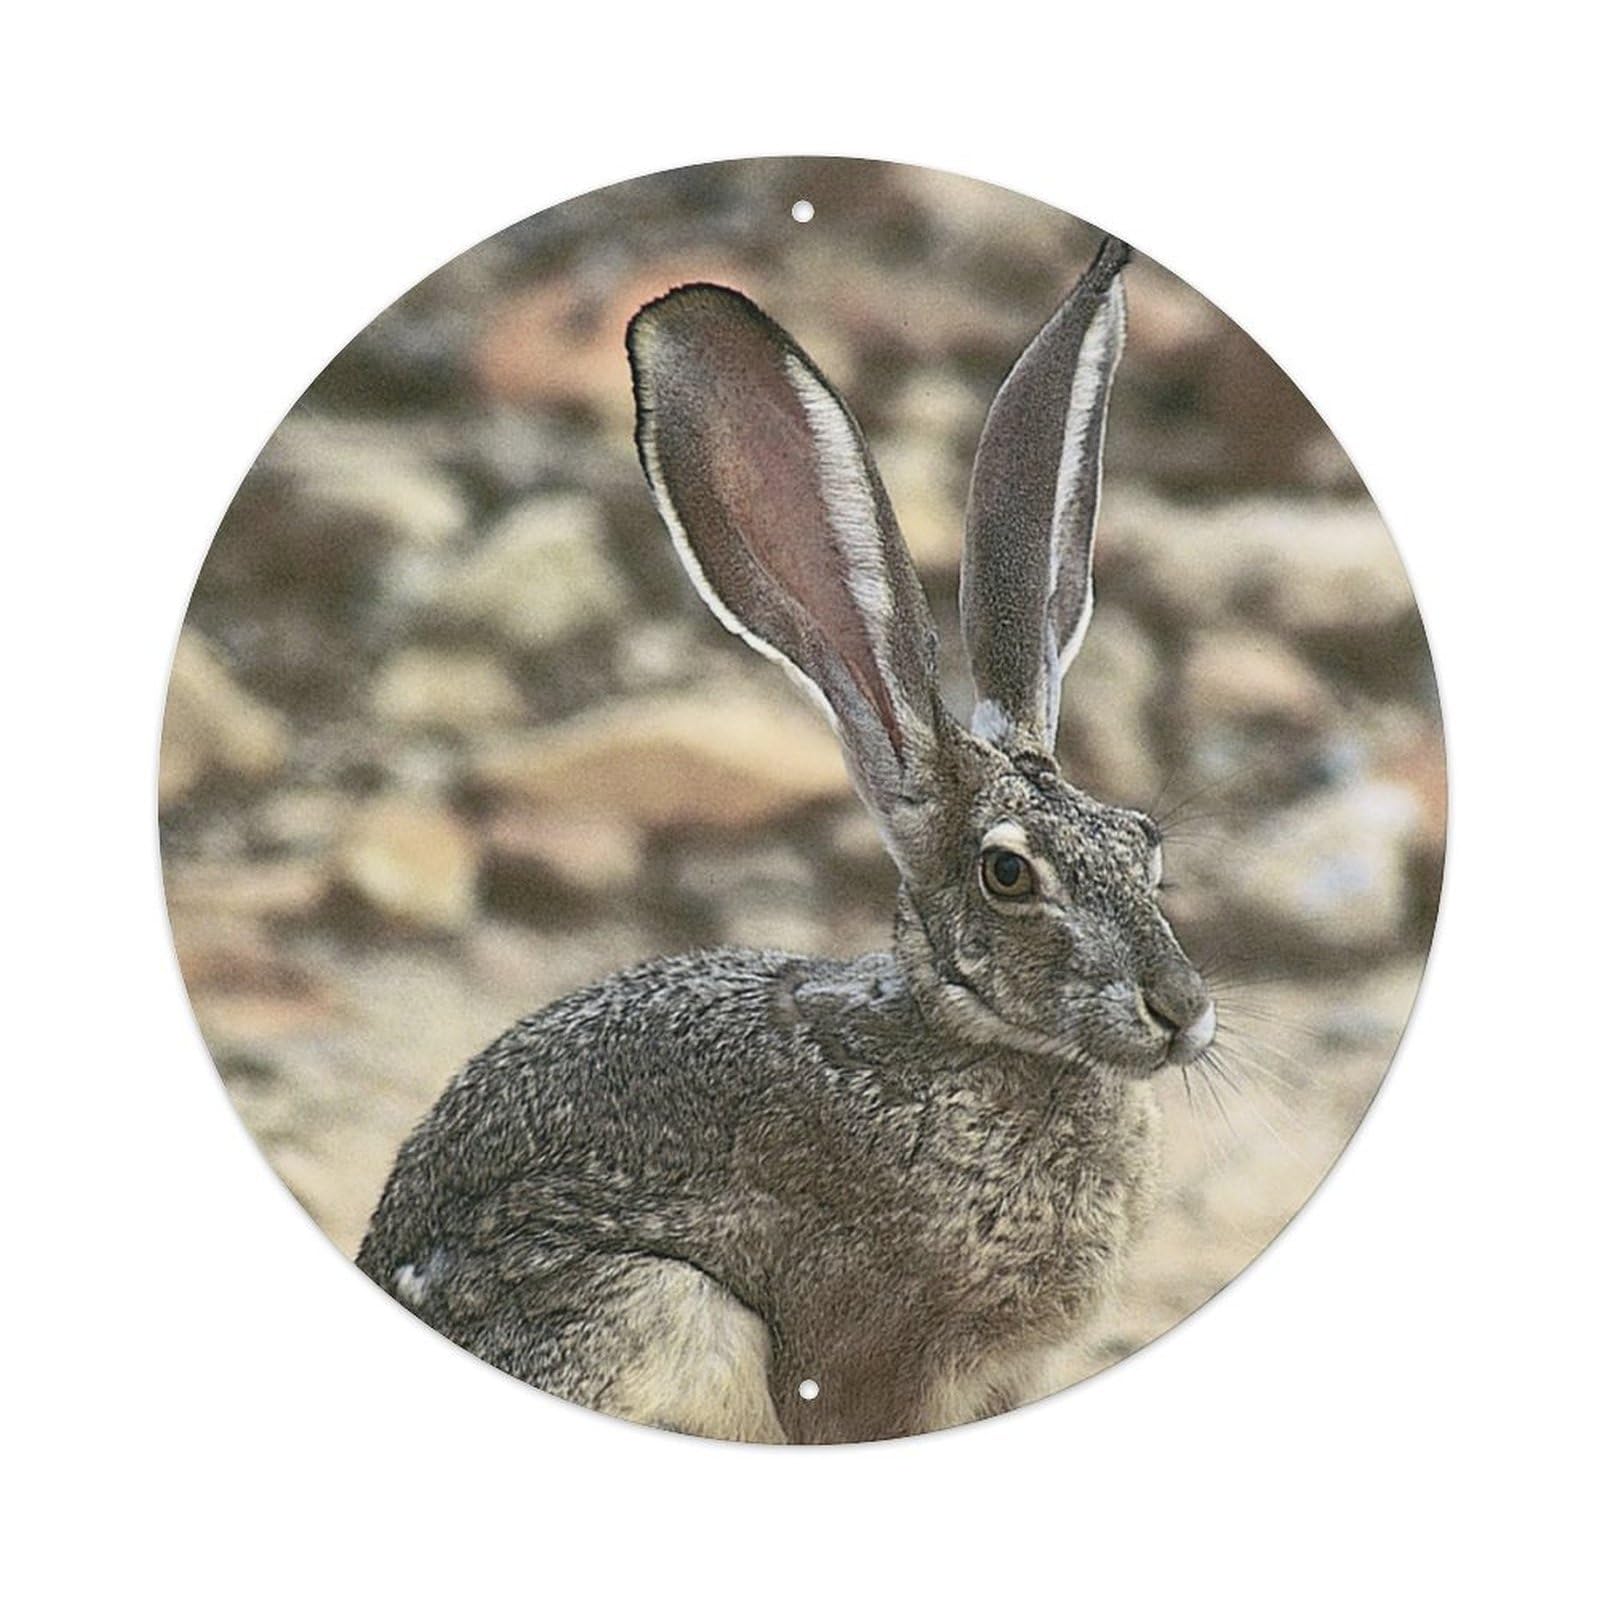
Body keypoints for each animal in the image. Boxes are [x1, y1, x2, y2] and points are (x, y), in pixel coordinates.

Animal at [357, 235, 1217, 1444]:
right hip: (653, 1309)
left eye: (1145, 845)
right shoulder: (879, 1362)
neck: (972, 1045)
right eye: (1008, 874)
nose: (1182, 1012)